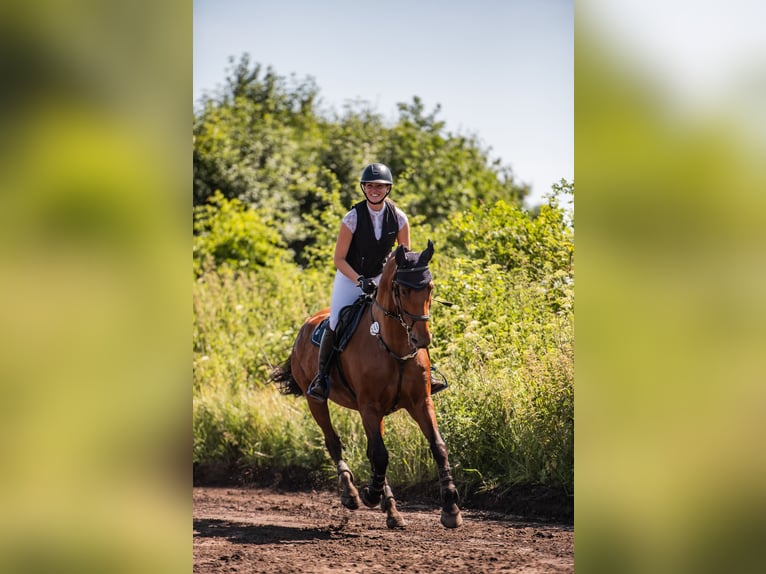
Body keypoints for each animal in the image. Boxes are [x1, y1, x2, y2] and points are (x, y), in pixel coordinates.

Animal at [270, 240, 462, 529]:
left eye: (429, 286)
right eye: (402, 289)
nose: (422, 339)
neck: (393, 345)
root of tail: (304, 327)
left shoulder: (420, 402)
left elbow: (437, 447)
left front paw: (450, 508)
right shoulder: (368, 407)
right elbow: (380, 455)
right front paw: (369, 494)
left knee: (372, 451)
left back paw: (391, 510)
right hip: (315, 400)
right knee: (333, 442)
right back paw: (351, 494)